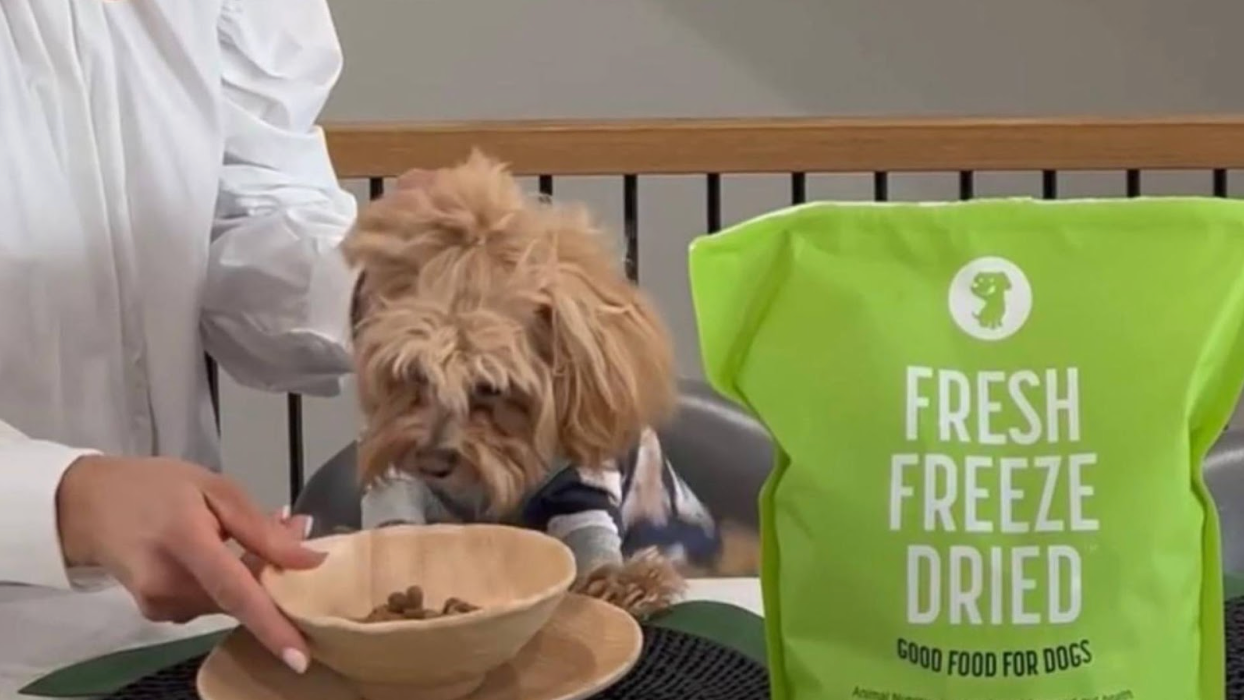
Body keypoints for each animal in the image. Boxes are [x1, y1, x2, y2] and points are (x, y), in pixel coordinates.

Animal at [335, 154, 751, 619]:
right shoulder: (395, 472)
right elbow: (394, 518)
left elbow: (592, 534)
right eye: (414, 374)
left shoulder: (581, 484)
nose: (434, 461)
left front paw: (620, 582)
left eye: (490, 387)